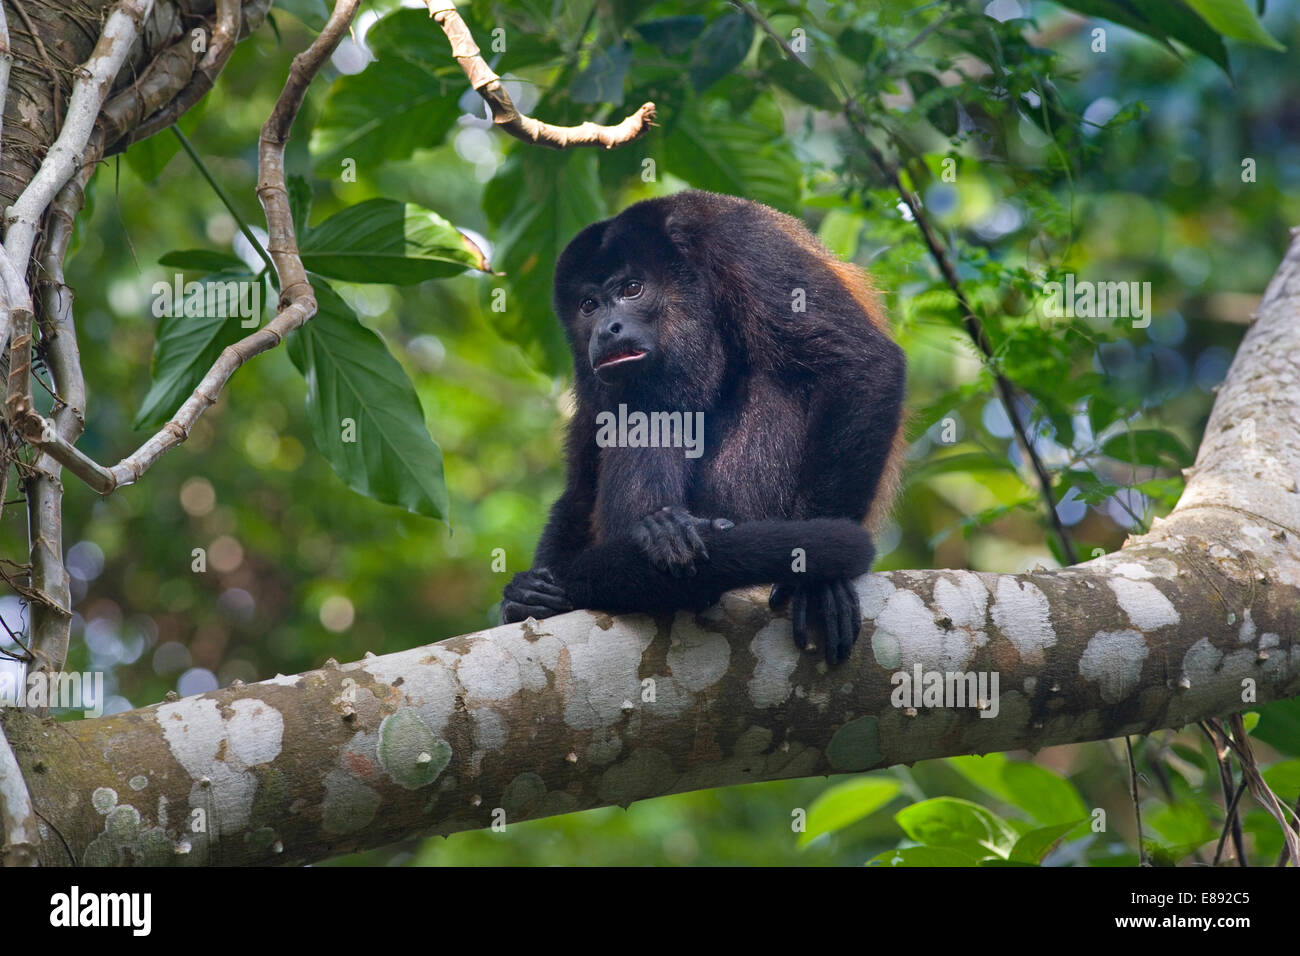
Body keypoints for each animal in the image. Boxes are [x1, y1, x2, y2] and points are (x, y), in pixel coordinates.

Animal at [496, 189, 904, 660]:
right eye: (588, 305)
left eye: (632, 289)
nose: (607, 329)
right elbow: (582, 482)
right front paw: (525, 596)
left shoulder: (741, 244)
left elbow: (861, 362)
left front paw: (820, 583)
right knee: (647, 414)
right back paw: (659, 537)